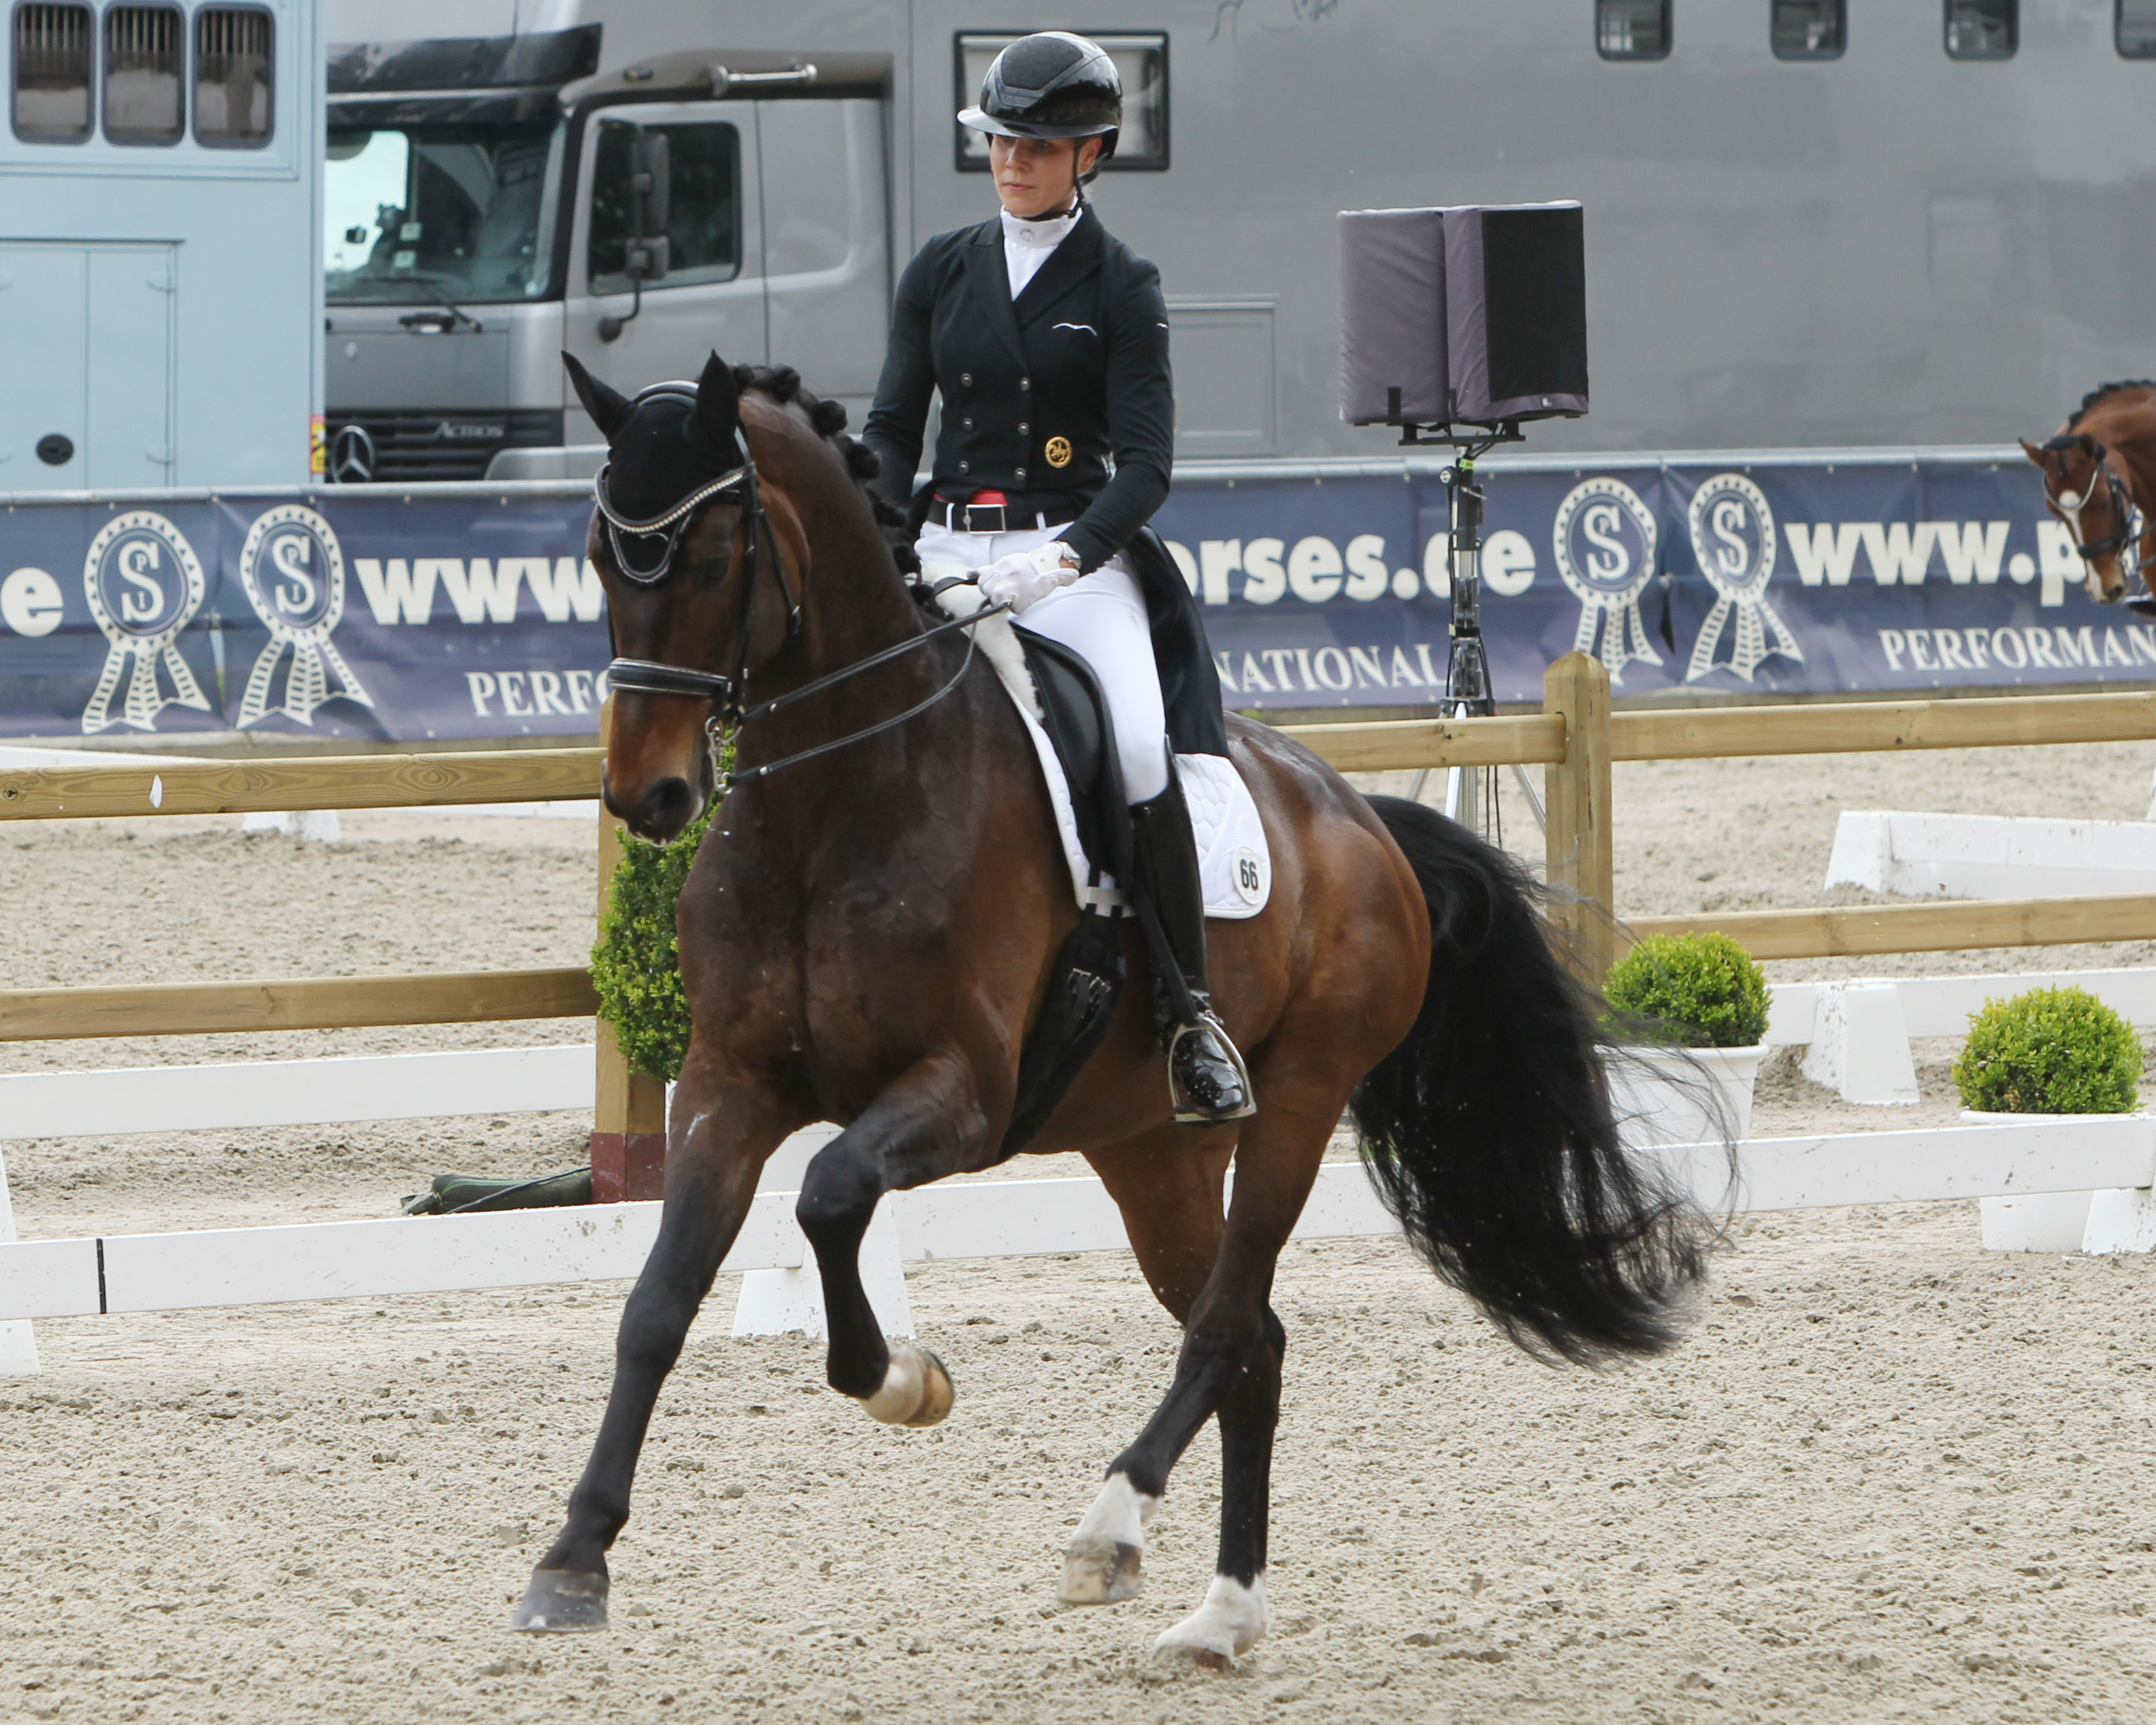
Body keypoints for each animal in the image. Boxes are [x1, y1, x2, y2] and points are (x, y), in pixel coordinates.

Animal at [512, 346, 1708, 1656]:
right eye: (597, 554)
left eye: (715, 558)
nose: (649, 793)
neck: (836, 801)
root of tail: (1361, 818)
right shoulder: (731, 1084)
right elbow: (657, 1299)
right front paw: (573, 1557)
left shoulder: (964, 1093)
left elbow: (827, 1195)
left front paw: (904, 1380)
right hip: (1148, 1148)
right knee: (1251, 1338)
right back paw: (1221, 1611)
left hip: (1298, 1094)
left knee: (1228, 1321)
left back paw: (1112, 1524)